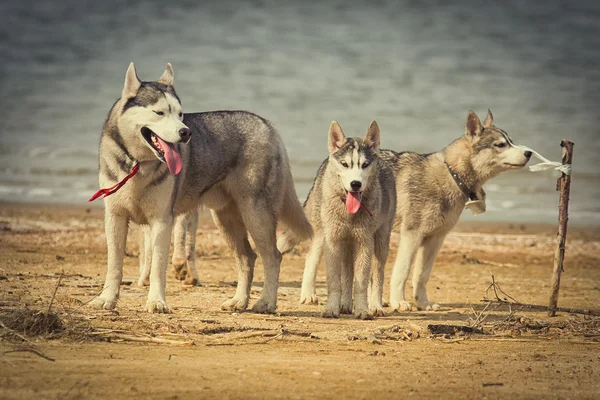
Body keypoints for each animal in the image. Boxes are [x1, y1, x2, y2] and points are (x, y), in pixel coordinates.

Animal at [92, 61, 314, 312]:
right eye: (159, 113)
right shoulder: (115, 217)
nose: (185, 132)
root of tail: (267, 125)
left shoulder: (162, 220)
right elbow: (114, 265)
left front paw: (156, 302)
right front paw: (106, 299)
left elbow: (159, 267)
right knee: (248, 258)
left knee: (273, 256)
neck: (138, 165)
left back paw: (266, 302)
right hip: (226, 219)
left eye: (180, 114)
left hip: (256, 214)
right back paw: (239, 301)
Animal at [278, 120, 396, 320]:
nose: (355, 184)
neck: (349, 212)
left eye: (365, 164)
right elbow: (334, 281)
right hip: (323, 235)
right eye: (345, 164)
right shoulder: (332, 241)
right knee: (312, 258)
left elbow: (361, 282)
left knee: (375, 276)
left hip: (379, 242)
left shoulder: (364, 242)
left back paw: (372, 305)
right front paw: (331, 309)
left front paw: (363, 310)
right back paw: (315, 296)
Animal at [382, 110, 532, 312]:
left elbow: (422, 276)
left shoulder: (435, 238)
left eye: (511, 141)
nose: (529, 152)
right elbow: (402, 272)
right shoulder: (412, 235)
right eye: (500, 144)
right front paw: (398, 302)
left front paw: (423, 303)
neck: (452, 175)